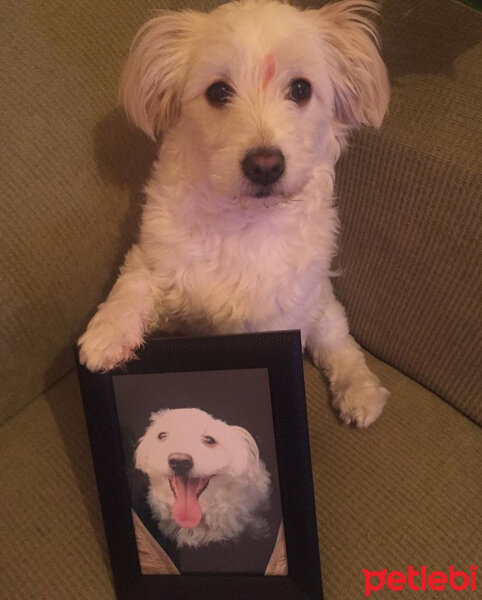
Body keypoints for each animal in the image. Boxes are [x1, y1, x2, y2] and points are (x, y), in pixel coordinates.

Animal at [77, 2, 390, 428]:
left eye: (301, 89)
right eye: (218, 91)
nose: (265, 166)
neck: (239, 220)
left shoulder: (275, 321)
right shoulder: (154, 259)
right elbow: (132, 287)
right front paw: (106, 335)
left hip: (322, 307)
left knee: (340, 344)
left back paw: (360, 391)